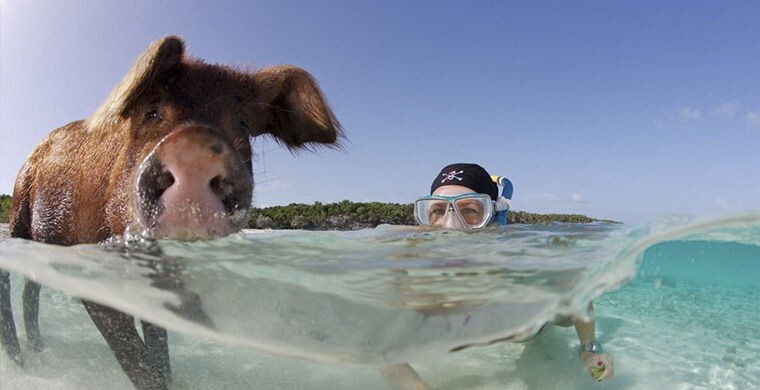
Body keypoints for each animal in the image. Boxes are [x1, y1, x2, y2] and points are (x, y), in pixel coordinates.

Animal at [0, 35, 342, 388]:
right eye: (151, 112)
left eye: (242, 124)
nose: (195, 145)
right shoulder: (88, 260)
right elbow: (133, 354)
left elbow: (157, 339)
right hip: (20, 208)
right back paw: (22, 362)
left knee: (32, 289)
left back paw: (38, 351)